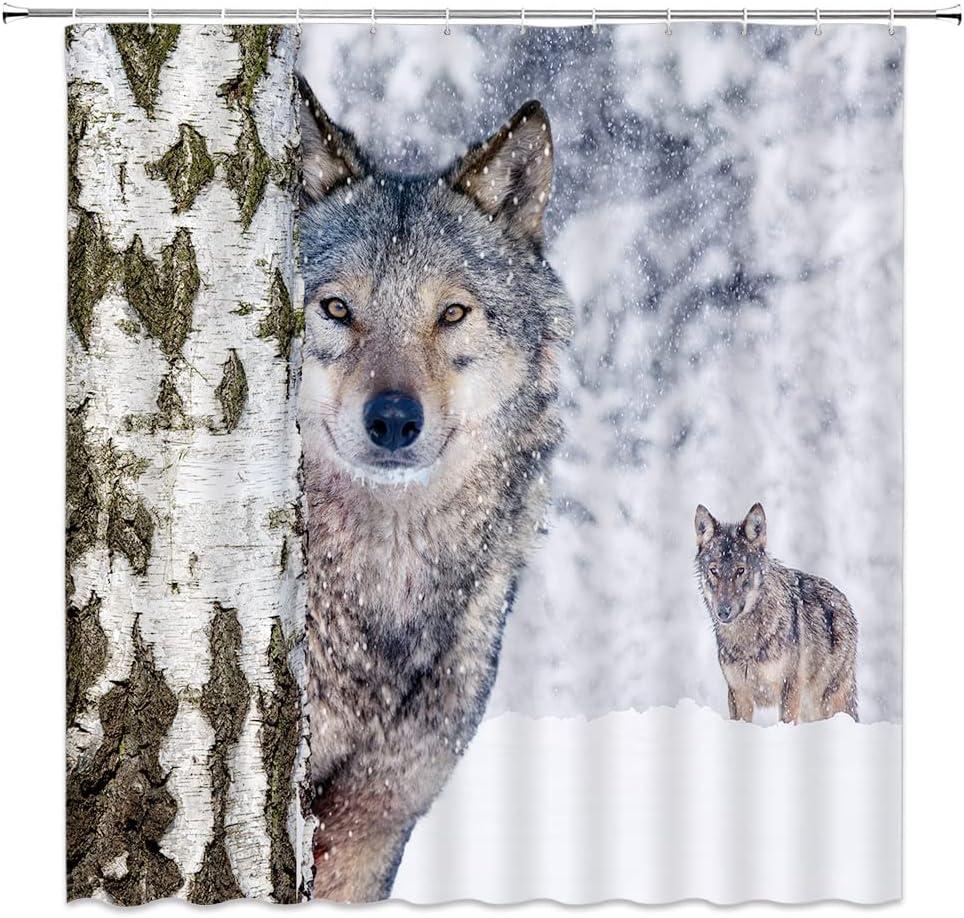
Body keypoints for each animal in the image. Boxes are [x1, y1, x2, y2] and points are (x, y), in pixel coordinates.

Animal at [694, 503, 858, 725]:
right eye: (714, 570)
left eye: (740, 570)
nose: (723, 611)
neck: (747, 641)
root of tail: (845, 603)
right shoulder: (738, 692)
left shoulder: (789, 686)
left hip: (824, 701)